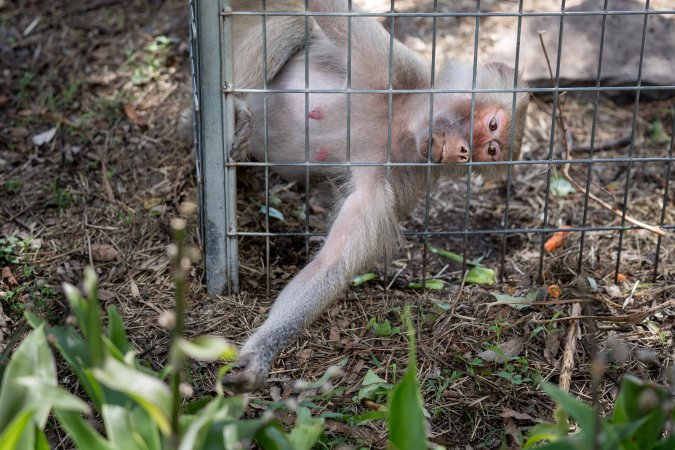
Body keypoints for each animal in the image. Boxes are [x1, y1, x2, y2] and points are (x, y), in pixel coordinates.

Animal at [223, 0, 529, 392]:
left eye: (491, 151)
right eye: (492, 126)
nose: (463, 153)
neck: (402, 127)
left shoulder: (393, 181)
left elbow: (331, 266)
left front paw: (262, 350)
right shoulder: (397, 68)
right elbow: (324, 10)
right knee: (292, 25)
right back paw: (234, 111)